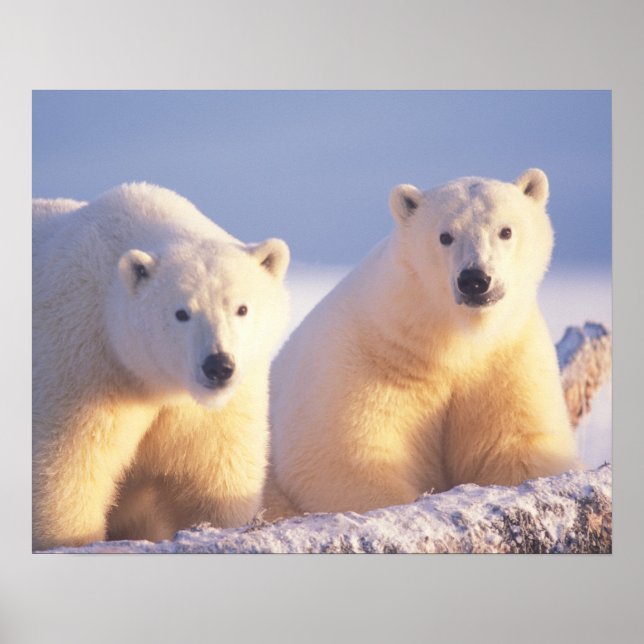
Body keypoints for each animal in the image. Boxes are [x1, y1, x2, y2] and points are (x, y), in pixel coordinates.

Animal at [32, 183, 290, 550]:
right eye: (181, 313)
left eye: (242, 308)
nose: (218, 365)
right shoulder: (80, 363)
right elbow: (67, 468)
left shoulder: (209, 408)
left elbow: (214, 470)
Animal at [265, 168, 580, 518]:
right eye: (445, 236)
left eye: (505, 230)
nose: (474, 279)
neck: (449, 341)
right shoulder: (364, 360)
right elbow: (346, 458)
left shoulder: (507, 359)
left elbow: (519, 444)